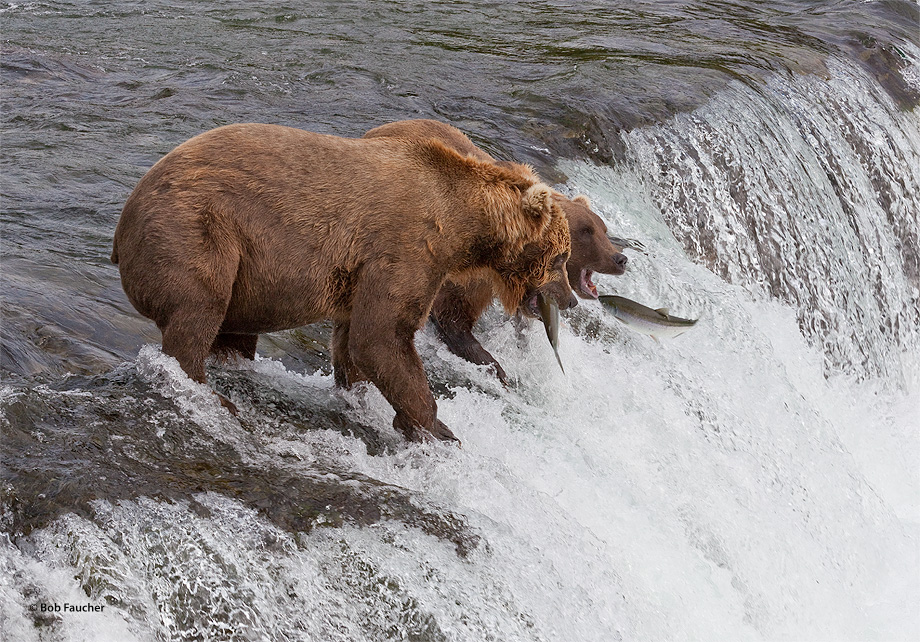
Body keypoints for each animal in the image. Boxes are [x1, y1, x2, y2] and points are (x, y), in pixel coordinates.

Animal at [111, 122, 572, 442]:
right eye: (562, 257)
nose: (569, 301)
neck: (460, 226)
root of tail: (123, 222)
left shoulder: (360, 275)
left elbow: (355, 341)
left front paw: (361, 398)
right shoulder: (406, 246)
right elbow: (383, 336)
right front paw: (436, 427)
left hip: (242, 264)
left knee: (232, 326)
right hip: (199, 228)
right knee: (199, 309)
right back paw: (209, 394)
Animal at [362, 119, 628, 380]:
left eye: (602, 229)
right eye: (586, 231)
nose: (620, 258)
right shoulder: (466, 274)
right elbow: (453, 315)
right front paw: (496, 367)